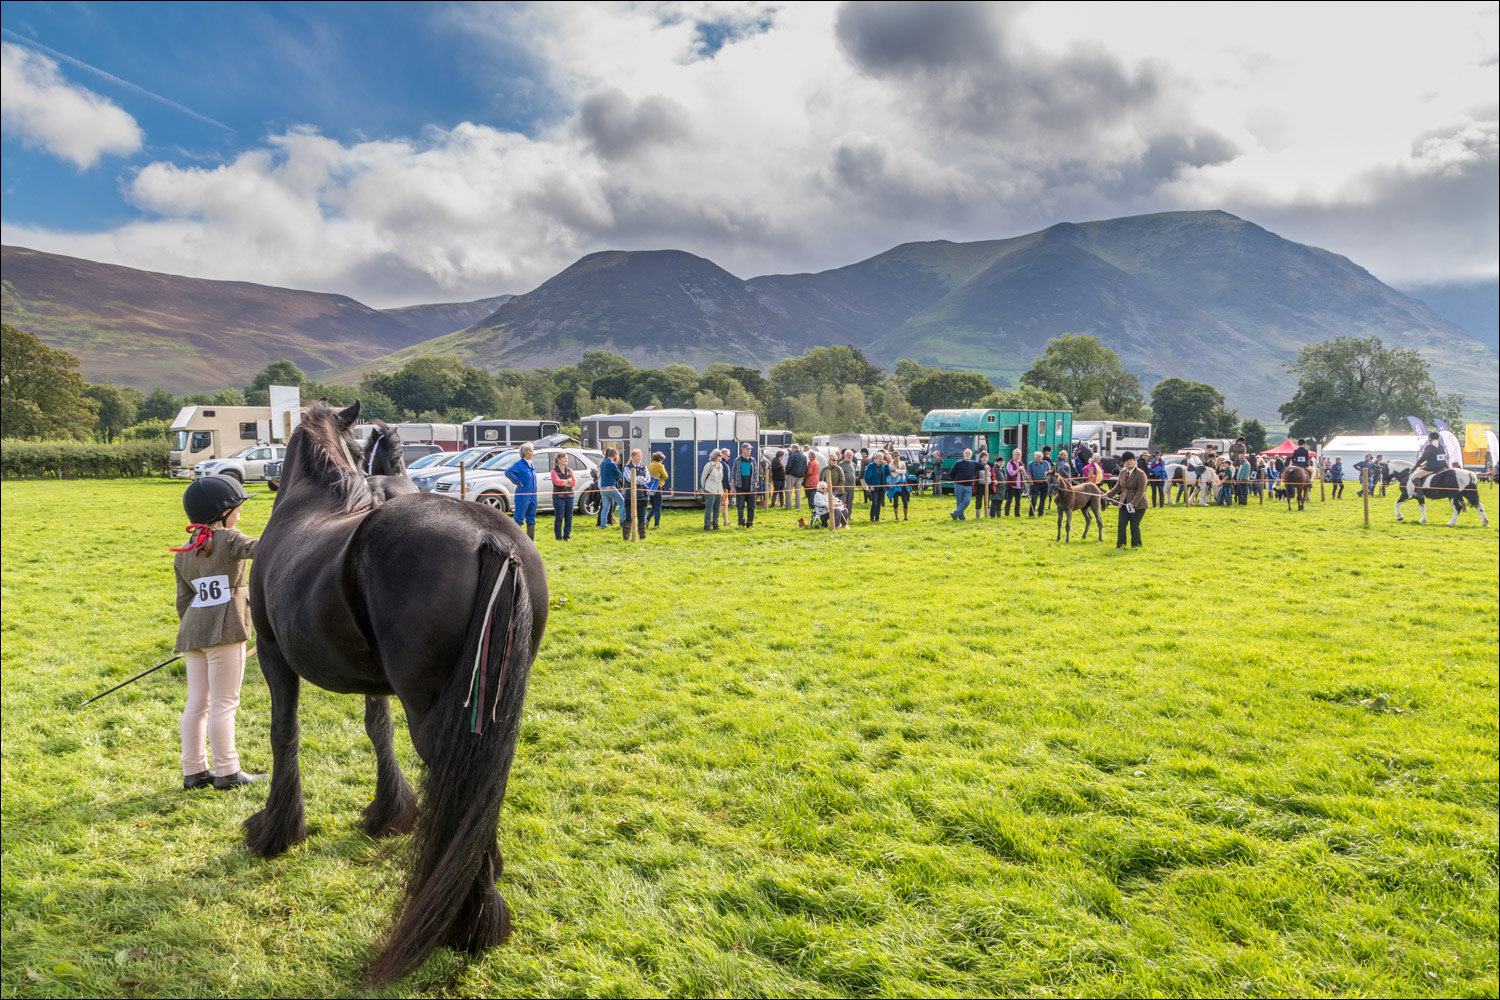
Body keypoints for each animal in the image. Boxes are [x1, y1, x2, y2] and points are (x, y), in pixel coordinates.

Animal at [246, 401, 552, 989]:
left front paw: (277, 829)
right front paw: (388, 813)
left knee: (458, 781)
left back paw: (470, 919)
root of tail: (495, 539)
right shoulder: (376, 683)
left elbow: (283, 735)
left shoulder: (273, 655)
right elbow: (377, 731)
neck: (311, 498)